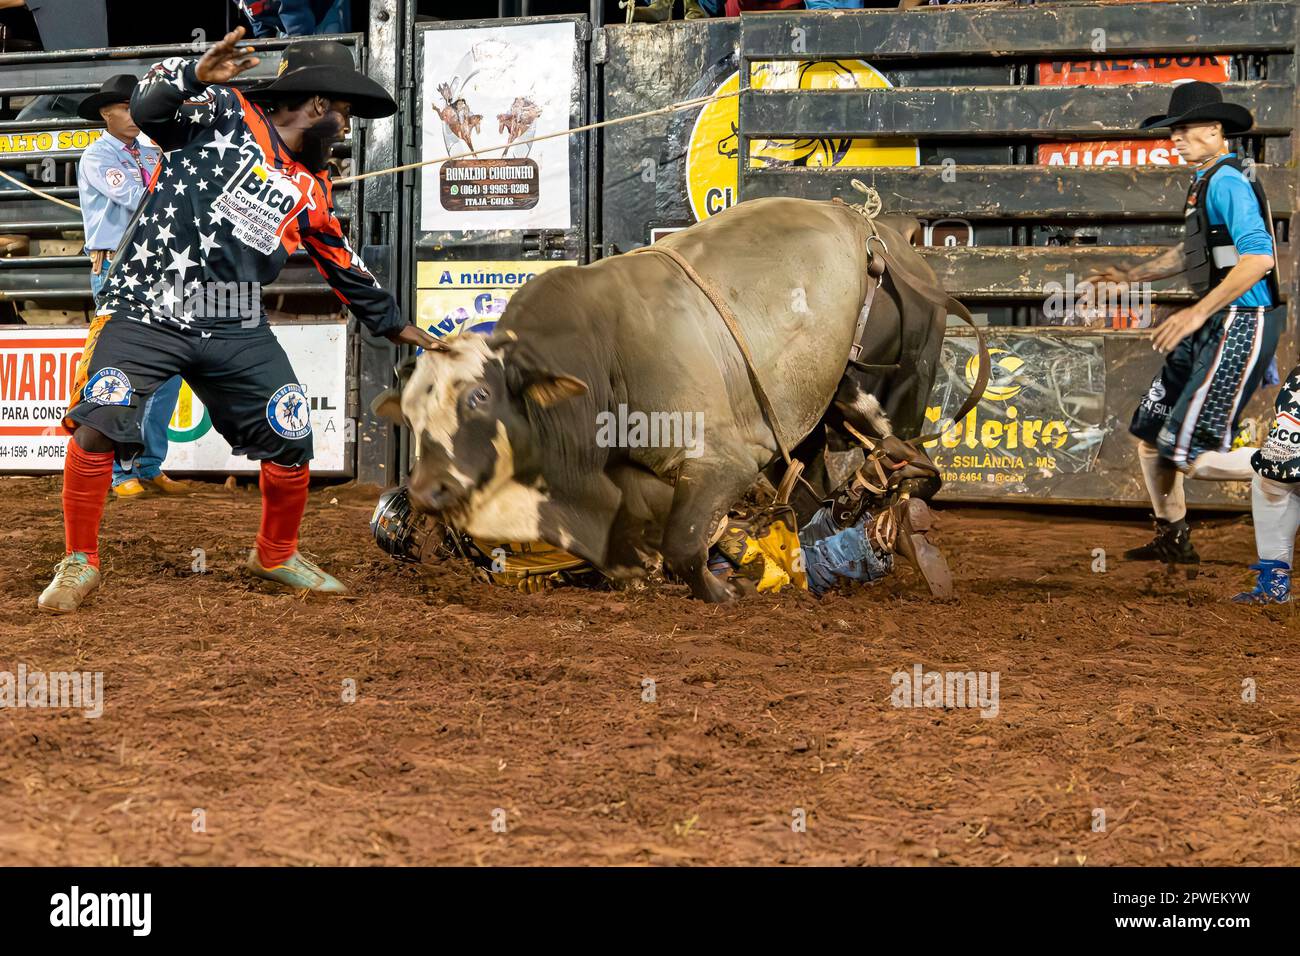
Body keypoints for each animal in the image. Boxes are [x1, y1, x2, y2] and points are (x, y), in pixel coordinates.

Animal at [374, 195, 977, 600]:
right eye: (412, 413)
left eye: (480, 397)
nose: (425, 489)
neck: (601, 356)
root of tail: (883, 229)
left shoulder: (721, 460)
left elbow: (685, 541)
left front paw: (721, 591)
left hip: (899, 380)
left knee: (907, 458)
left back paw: (907, 522)